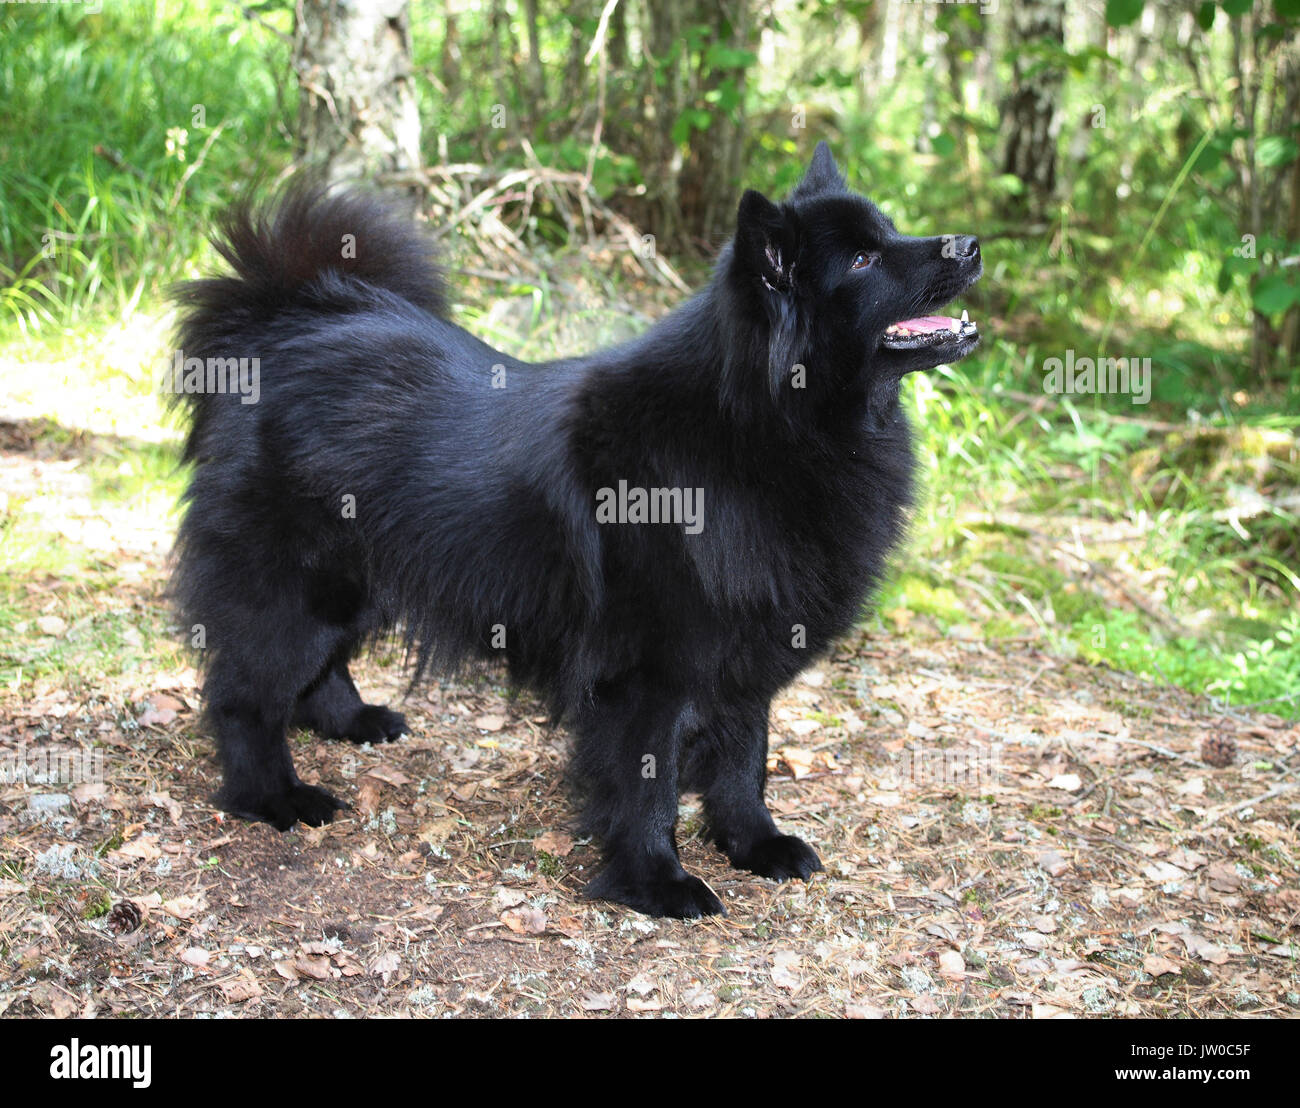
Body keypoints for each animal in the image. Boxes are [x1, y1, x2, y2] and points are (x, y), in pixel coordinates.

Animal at [175, 143, 982, 915]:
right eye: (863, 260)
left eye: (888, 231)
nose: (972, 244)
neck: (760, 425)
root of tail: (286, 320)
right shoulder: (648, 673)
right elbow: (646, 786)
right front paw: (657, 882)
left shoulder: (741, 651)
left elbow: (744, 759)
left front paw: (756, 843)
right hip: (300, 590)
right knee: (245, 697)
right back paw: (273, 797)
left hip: (365, 576)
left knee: (319, 667)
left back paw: (353, 721)